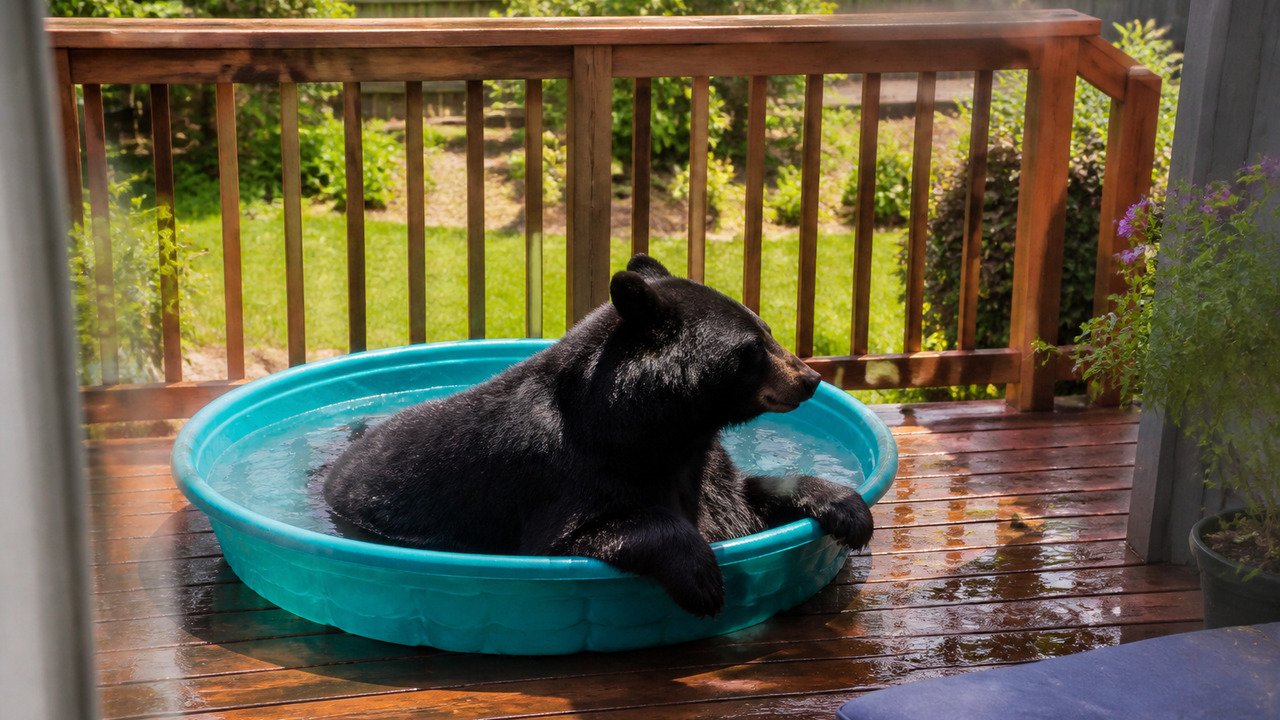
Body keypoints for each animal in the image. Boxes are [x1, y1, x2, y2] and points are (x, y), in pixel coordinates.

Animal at [323, 254, 873, 617]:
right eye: (753, 349)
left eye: (769, 330)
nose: (810, 378)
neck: (653, 427)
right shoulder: (564, 473)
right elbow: (585, 530)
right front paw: (702, 578)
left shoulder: (703, 458)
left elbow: (740, 498)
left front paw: (848, 508)